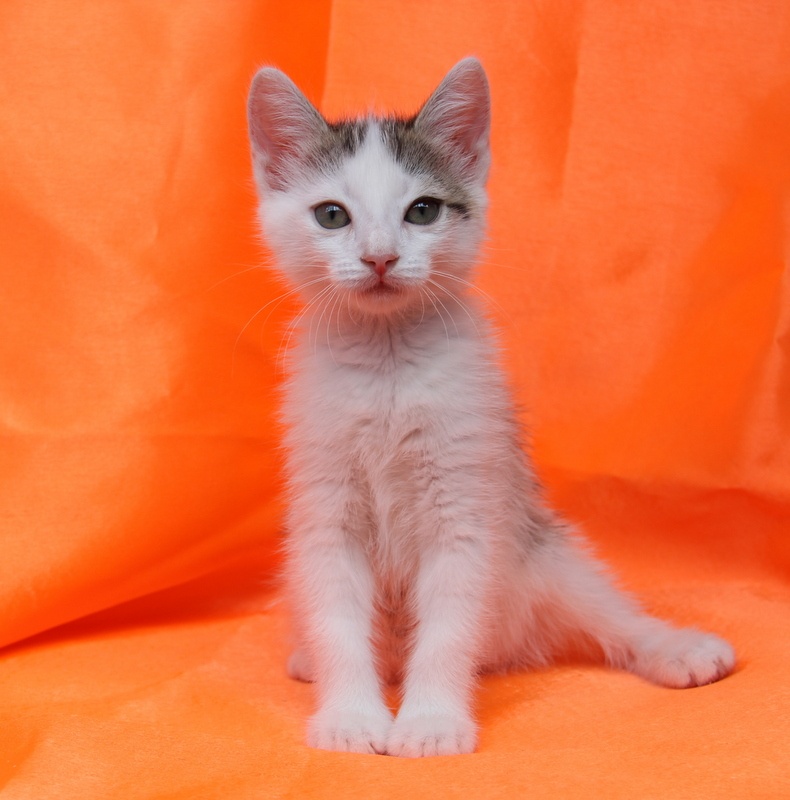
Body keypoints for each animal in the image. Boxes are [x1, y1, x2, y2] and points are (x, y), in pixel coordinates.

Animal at [246, 57, 735, 758]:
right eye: (332, 216)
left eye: (422, 211)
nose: (379, 257)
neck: (388, 360)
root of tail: (508, 649)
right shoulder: (323, 510)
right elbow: (337, 618)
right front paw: (351, 717)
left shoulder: (468, 503)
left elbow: (449, 626)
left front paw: (430, 721)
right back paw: (309, 660)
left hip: (544, 550)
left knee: (607, 614)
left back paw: (675, 647)